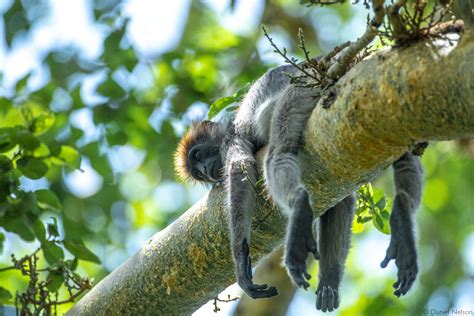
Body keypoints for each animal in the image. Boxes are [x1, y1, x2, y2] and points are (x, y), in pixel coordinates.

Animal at [173, 62, 422, 312]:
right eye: (198, 173)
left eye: (198, 155)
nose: (205, 170)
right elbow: (340, 201)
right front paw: (329, 280)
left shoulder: (231, 140)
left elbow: (240, 170)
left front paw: (241, 262)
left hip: (299, 93)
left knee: (278, 152)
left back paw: (299, 203)